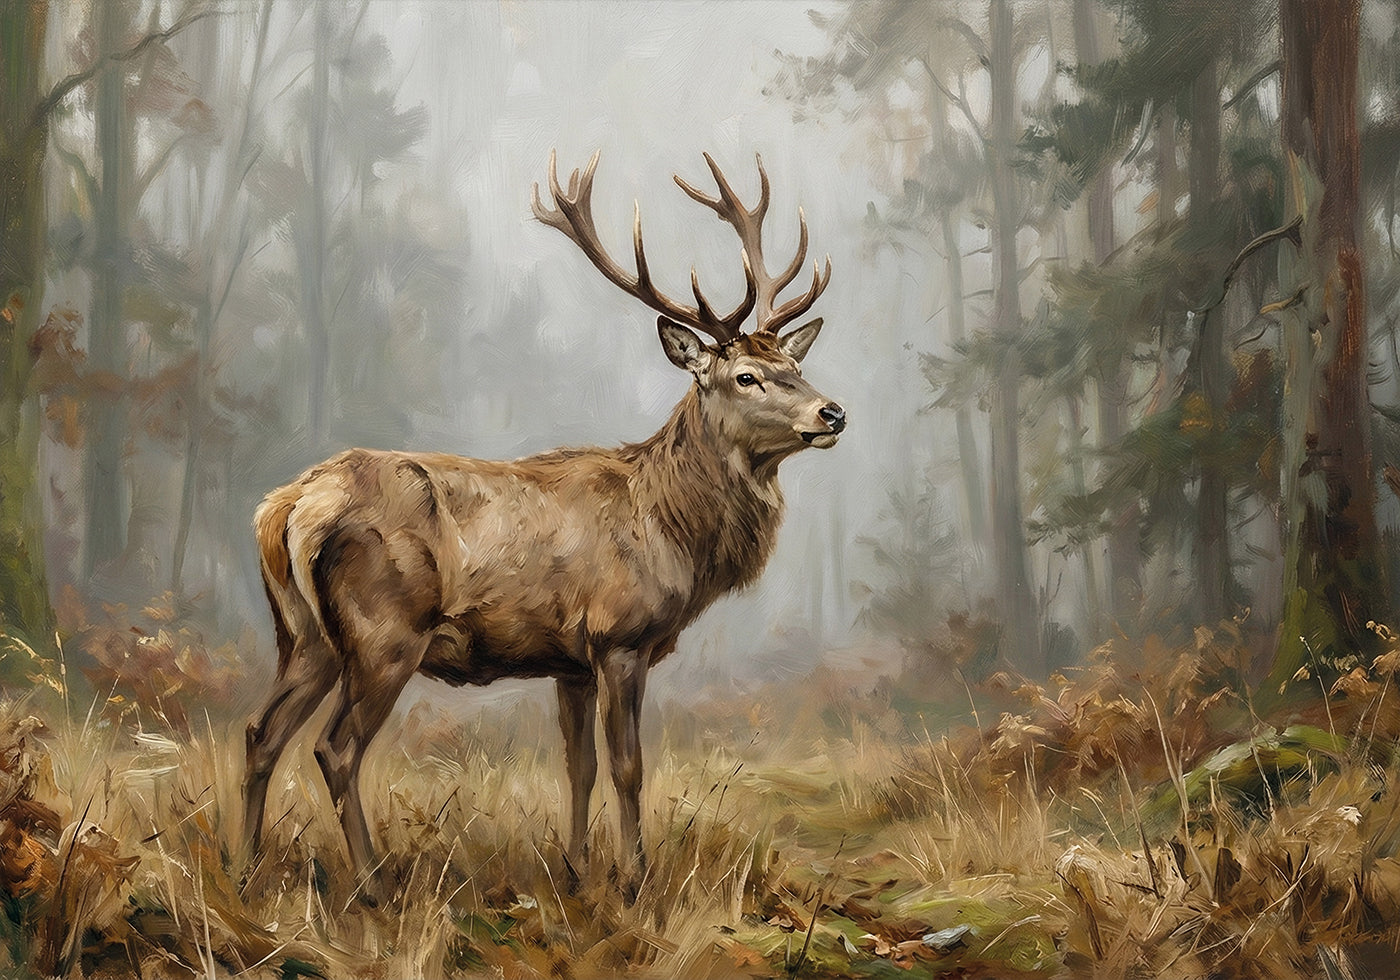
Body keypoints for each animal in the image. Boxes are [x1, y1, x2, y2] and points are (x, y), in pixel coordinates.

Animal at [242, 149, 845, 893]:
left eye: (794, 363)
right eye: (745, 377)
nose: (832, 412)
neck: (671, 528)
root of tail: (290, 506)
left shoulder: (571, 660)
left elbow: (578, 766)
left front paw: (577, 871)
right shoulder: (619, 638)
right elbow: (627, 766)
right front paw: (634, 879)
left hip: (303, 635)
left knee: (261, 732)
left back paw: (243, 866)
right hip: (383, 631)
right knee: (335, 748)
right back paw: (372, 884)